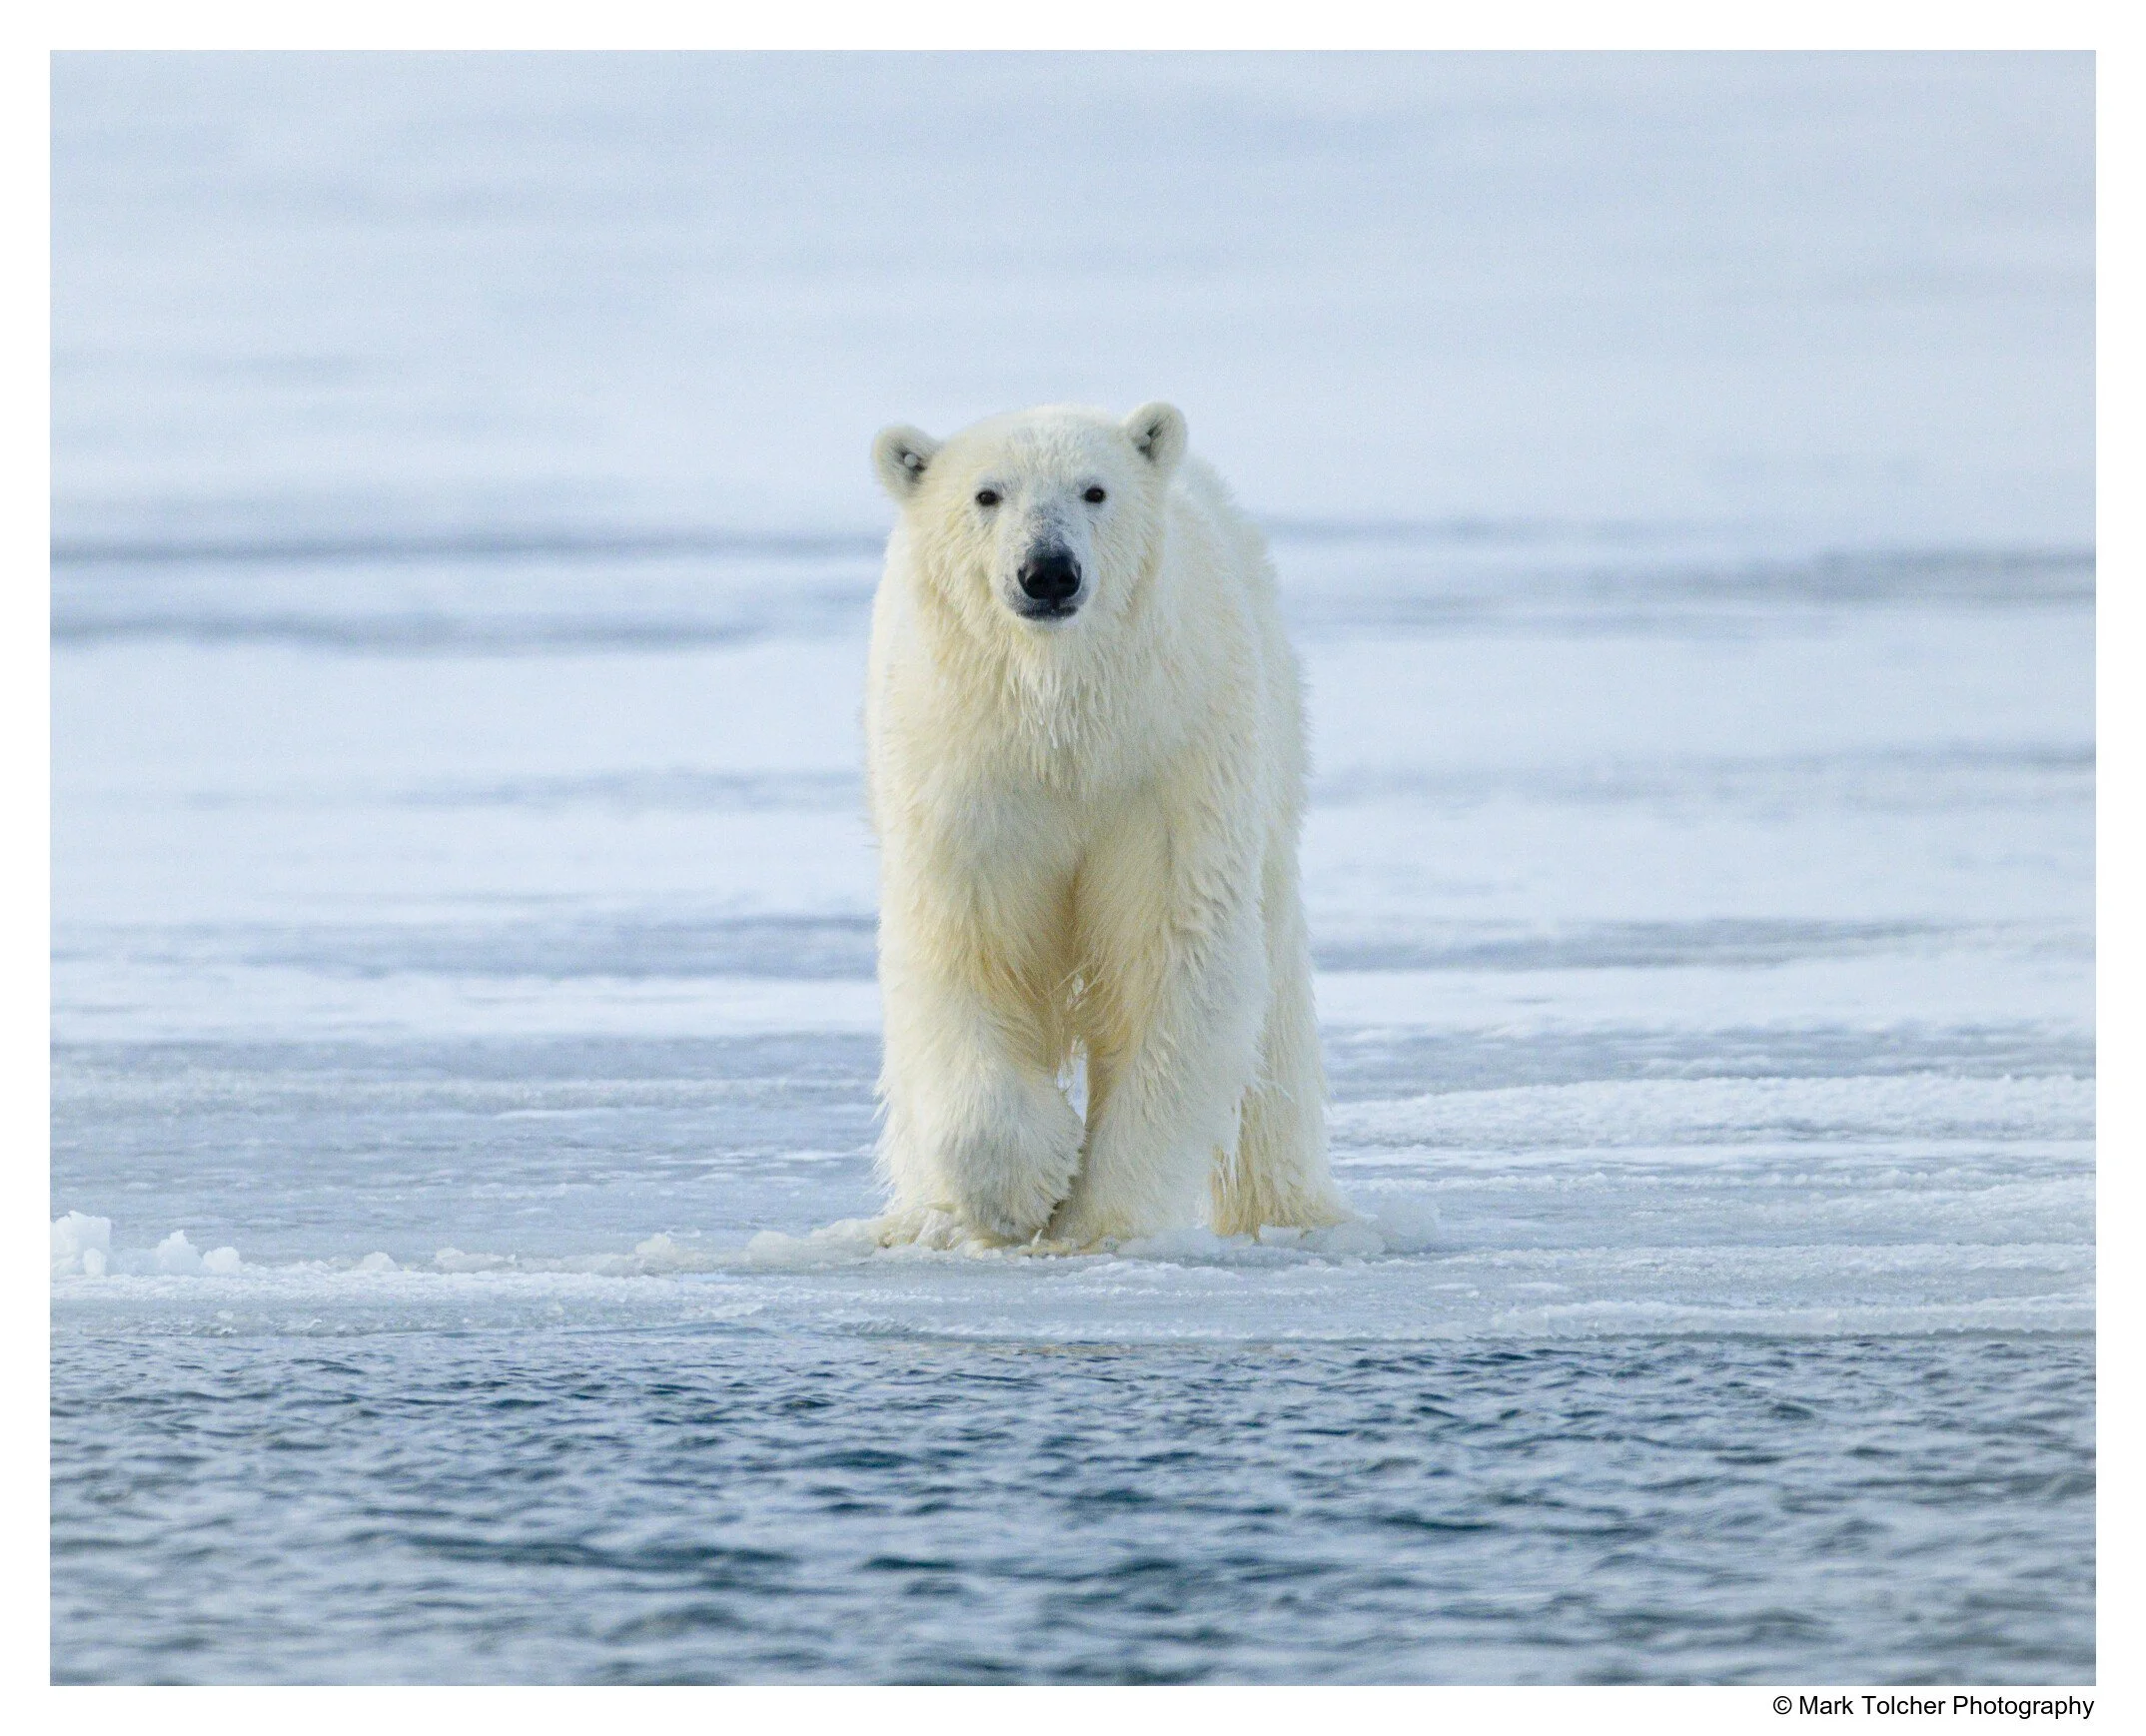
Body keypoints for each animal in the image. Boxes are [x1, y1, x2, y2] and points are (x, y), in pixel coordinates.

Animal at [864, 401, 1349, 1249]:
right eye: (988, 494)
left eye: (1095, 490)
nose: (1049, 571)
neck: (1066, 721)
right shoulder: (969, 775)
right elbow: (967, 952)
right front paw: (1024, 1187)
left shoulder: (1165, 765)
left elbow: (1173, 959)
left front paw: (1098, 1218)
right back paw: (925, 1218)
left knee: (1276, 1003)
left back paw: (1293, 1212)